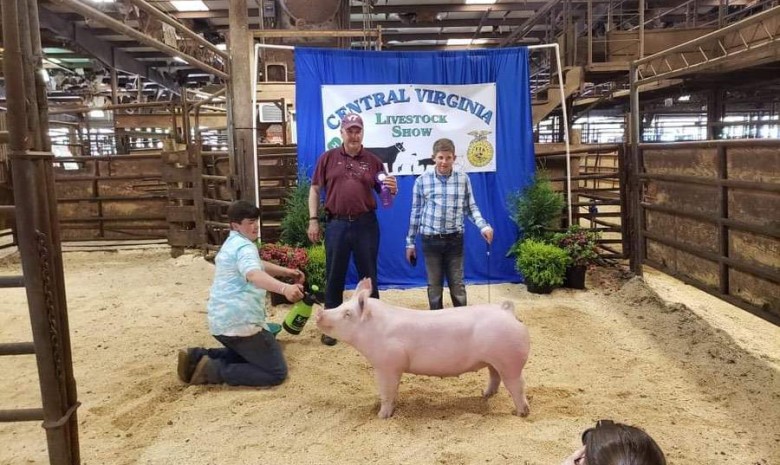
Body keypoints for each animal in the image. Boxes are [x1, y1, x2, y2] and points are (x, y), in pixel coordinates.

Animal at [312, 278, 532, 418]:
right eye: (341, 304)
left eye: (347, 314)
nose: (319, 313)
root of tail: (507, 311)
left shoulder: (387, 365)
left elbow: (386, 391)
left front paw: (381, 416)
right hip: (495, 360)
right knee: (495, 376)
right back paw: (485, 394)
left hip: (510, 361)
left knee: (517, 385)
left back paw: (520, 413)